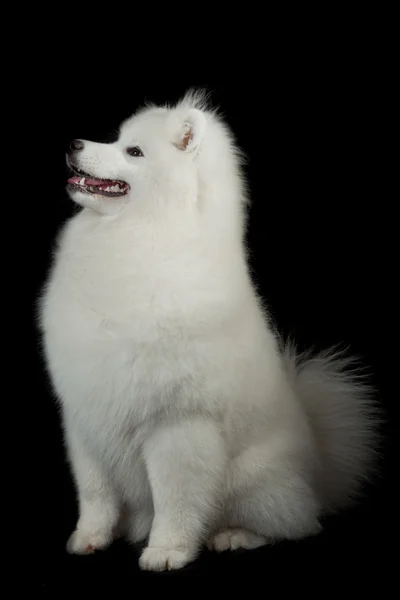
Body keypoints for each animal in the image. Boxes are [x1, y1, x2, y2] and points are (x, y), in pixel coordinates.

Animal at [37, 89, 378, 572]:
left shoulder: (178, 425)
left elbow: (176, 499)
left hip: (254, 481)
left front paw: (167, 551)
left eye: (133, 152)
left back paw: (233, 536)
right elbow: (95, 492)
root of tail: (320, 473)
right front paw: (89, 539)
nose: (74, 143)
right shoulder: (85, 417)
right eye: (116, 139)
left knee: (294, 524)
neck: (139, 237)